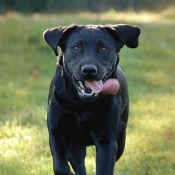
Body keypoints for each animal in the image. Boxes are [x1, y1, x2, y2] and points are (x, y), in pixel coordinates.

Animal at [43, 23, 141, 175]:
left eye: (104, 48)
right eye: (76, 48)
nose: (89, 70)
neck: (82, 104)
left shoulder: (107, 140)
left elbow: (104, 168)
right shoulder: (57, 131)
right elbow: (60, 167)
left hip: (121, 138)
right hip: (75, 144)